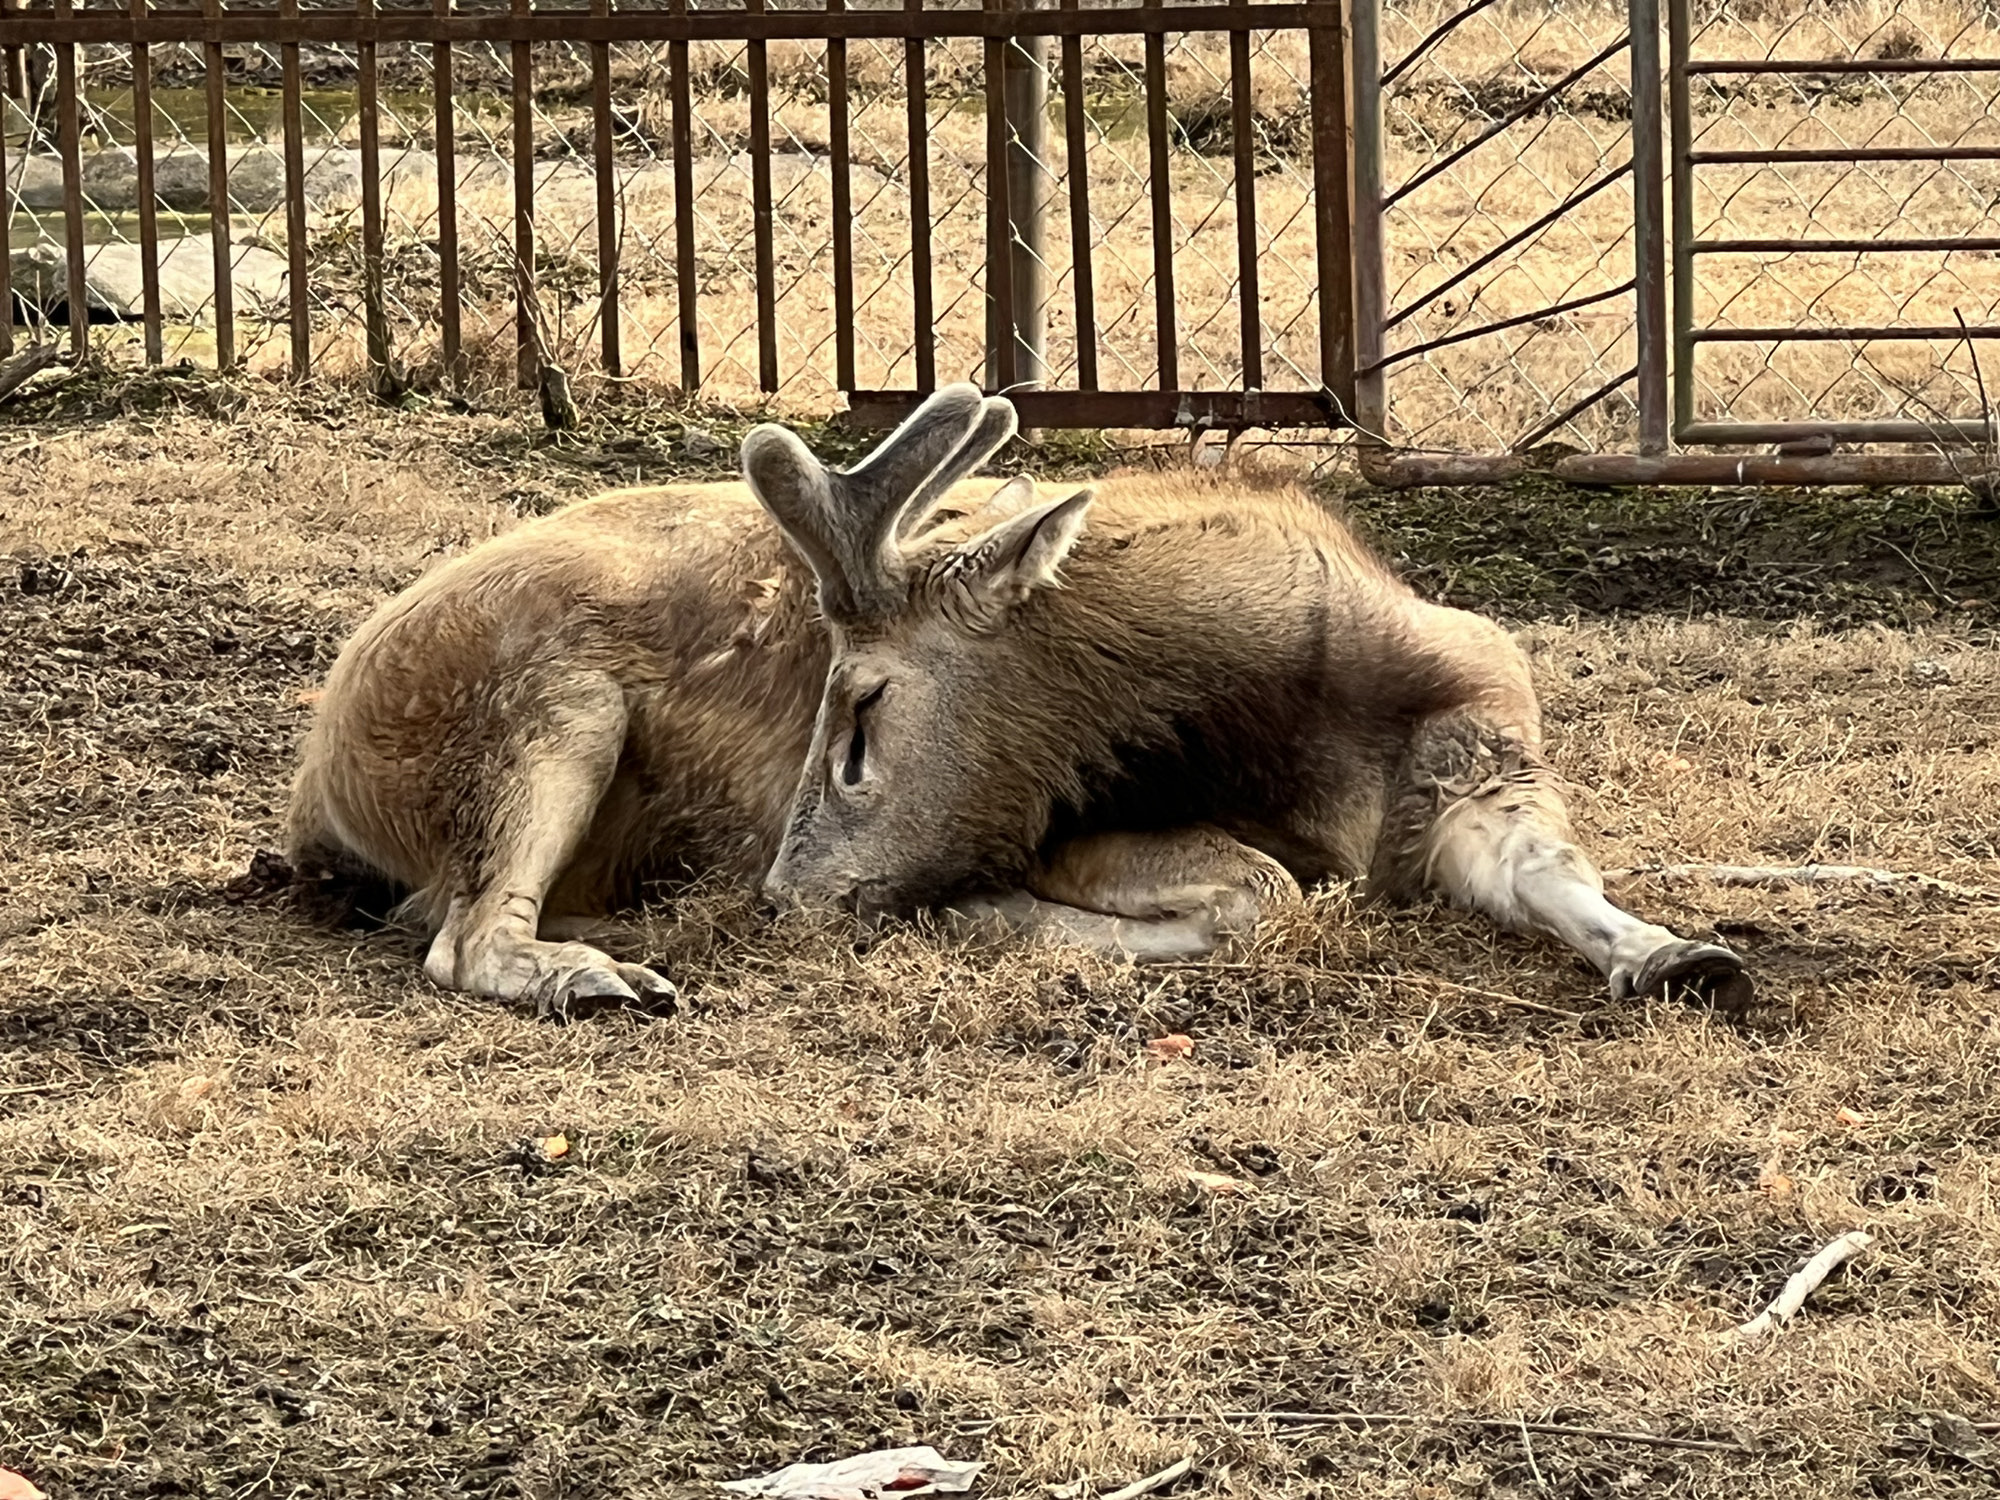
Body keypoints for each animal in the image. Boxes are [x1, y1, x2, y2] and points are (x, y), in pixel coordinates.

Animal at [289, 384, 1751, 1015]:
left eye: (860, 715)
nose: (783, 892)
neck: (1309, 717)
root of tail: (319, 778)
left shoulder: (1488, 758)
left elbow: (1561, 877)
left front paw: (1679, 952)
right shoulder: (1073, 828)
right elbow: (1261, 889)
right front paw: (985, 919)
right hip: (555, 709)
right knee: (457, 935)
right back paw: (598, 972)